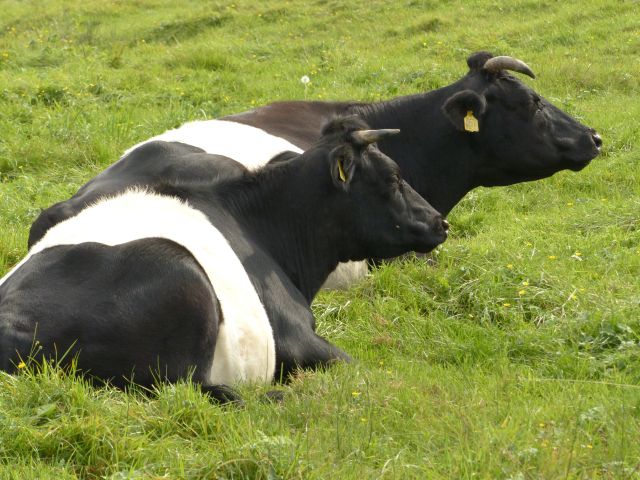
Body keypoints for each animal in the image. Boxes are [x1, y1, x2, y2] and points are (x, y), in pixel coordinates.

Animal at [0, 116, 450, 402]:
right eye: (393, 177)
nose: (439, 222)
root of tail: (10, 326)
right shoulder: (296, 337)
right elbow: (361, 369)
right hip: (182, 278)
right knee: (193, 390)